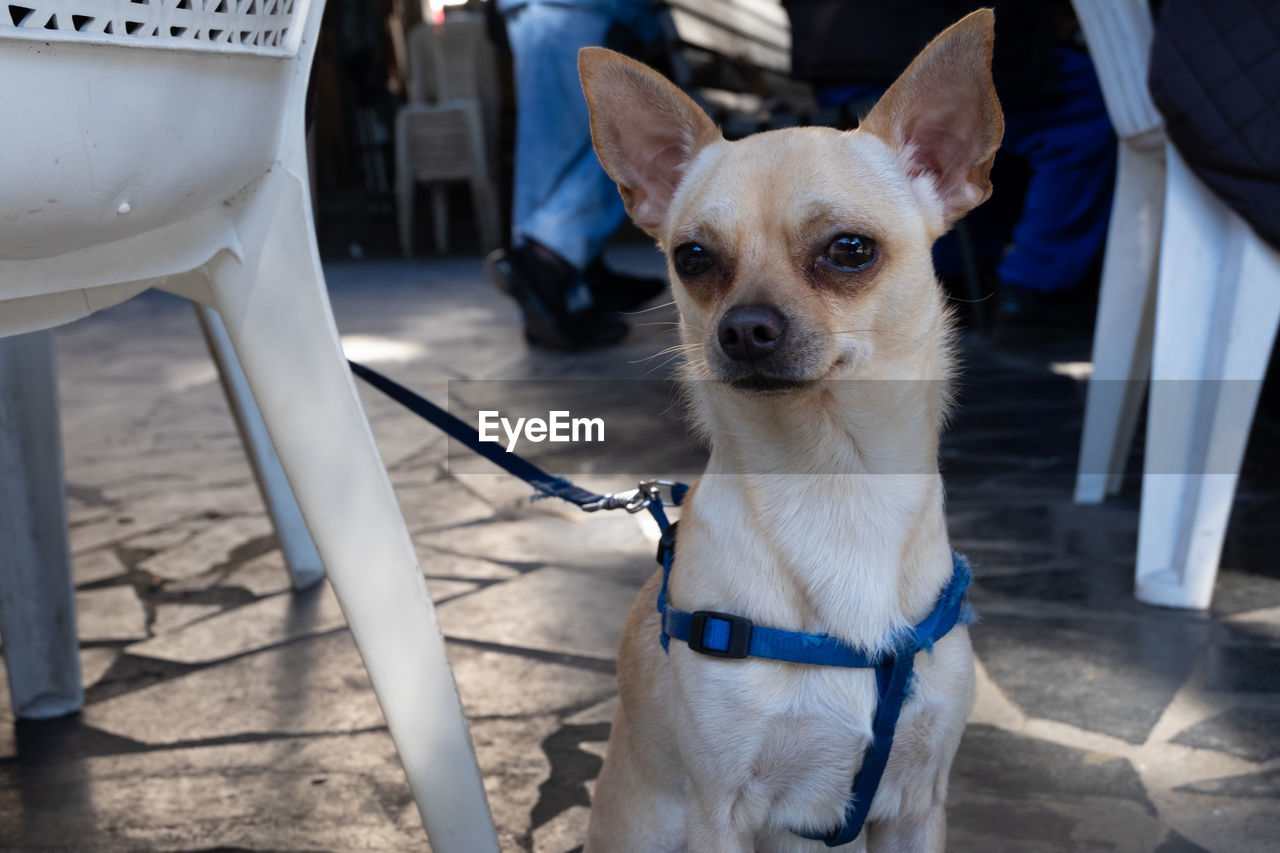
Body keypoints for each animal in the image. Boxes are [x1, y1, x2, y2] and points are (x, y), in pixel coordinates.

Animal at [576, 8, 1003, 850]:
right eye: (692, 257)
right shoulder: (722, 811)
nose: (743, 328)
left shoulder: (917, 805)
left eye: (849, 250)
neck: (835, 481)